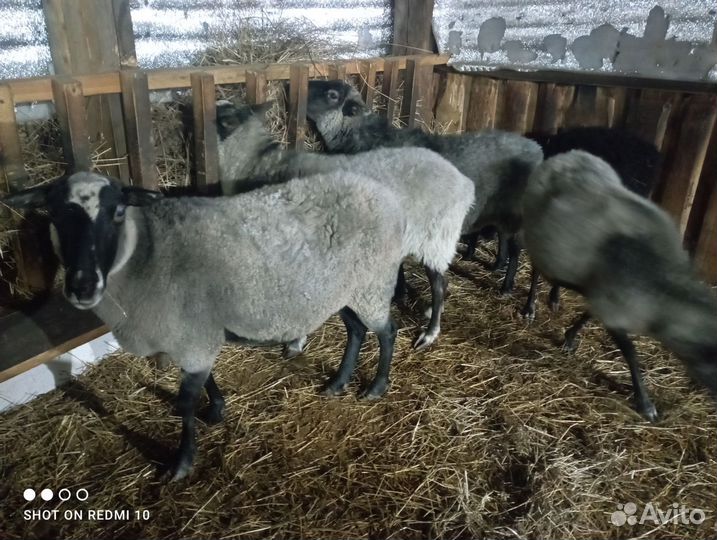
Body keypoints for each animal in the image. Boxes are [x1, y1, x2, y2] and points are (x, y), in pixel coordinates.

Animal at [3, 170, 406, 480]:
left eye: (117, 211)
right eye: (54, 214)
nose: (83, 286)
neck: (147, 254)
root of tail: (380, 192)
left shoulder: (193, 335)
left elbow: (184, 404)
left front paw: (182, 463)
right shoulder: (193, 332)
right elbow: (204, 381)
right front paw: (216, 410)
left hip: (372, 282)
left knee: (386, 332)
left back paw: (376, 386)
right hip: (346, 290)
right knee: (356, 330)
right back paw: (337, 383)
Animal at [216, 101, 476, 352]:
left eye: (220, 116)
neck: (258, 164)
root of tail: (463, 182)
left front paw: (296, 341)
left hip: (436, 237)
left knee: (439, 284)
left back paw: (430, 334)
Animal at [305, 80, 544, 294]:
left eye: (333, 95)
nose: (305, 85)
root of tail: (537, 149)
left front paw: (400, 293)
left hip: (517, 214)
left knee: (516, 250)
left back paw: (509, 288)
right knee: (504, 239)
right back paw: (497, 266)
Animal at [522, 150, 717, 421]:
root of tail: (569, 154)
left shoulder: (605, 295)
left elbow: (588, 315)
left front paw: (569, 337)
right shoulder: (616, 306)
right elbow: (631, 352)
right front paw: (645, 404)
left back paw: (555, 297)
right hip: (534, 232)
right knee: (536, 271)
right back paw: (530, 308)